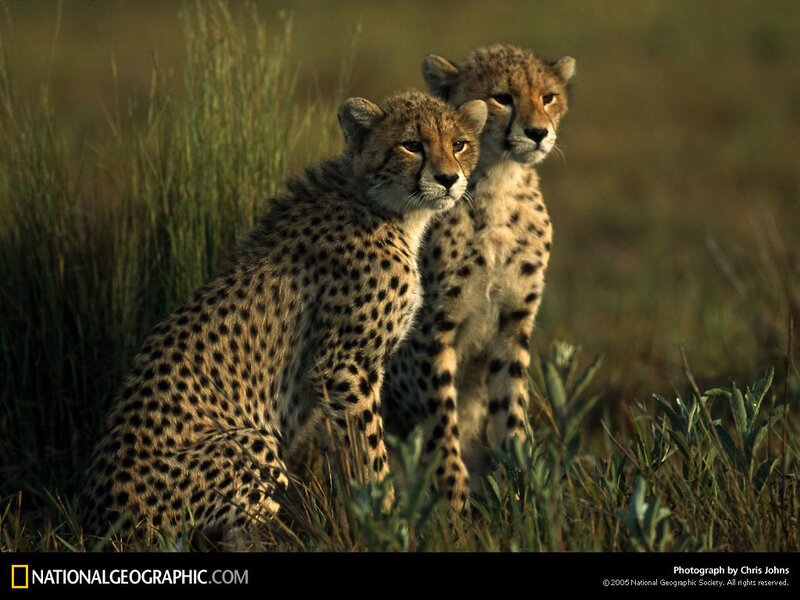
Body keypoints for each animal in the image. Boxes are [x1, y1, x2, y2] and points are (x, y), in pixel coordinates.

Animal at [79, 89, 487, 545]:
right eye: (412, 144)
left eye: (459, 144)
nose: (449, 178)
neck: (384, 205)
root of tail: (97, 519)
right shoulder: (344, 366)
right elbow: (370, 454)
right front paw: (387, 525)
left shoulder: (340, 379)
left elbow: (346, 456)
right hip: (251, 446)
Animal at [382, 45, 575, 509]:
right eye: (501, 97)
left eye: (548, 97)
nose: (538, 133)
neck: (499, 187)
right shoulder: (434, 330)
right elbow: (441, 421)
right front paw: (452, 502)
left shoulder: (513, 323)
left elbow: (511, 411)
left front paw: (523, 493)